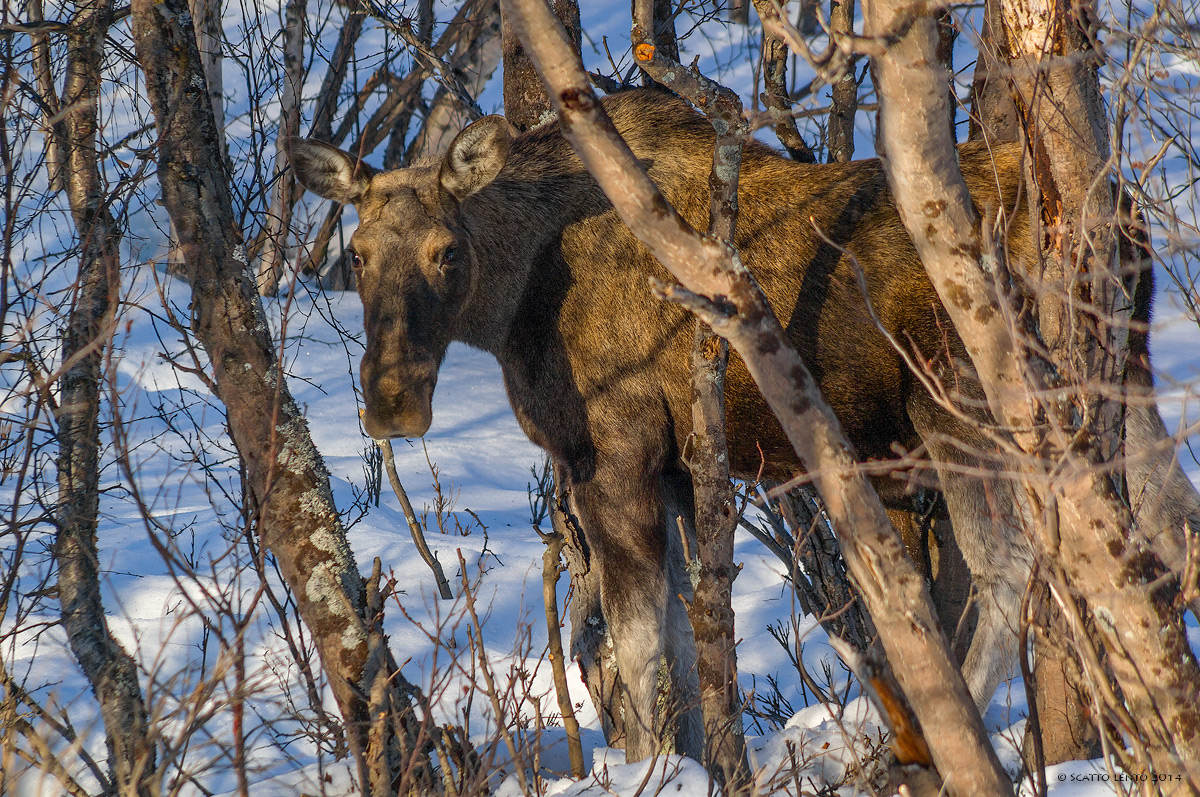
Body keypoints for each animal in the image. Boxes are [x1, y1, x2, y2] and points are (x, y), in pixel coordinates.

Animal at [292, 88, 1200, 768]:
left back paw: (933, 745)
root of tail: (1122, 221)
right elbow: (684, 646)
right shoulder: (677, 468)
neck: (510, 302)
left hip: (963, 402)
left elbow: (638, 644)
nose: (392, 400)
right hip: (1122, 384)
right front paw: (695, 763)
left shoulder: (613, 450)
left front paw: (651, 766)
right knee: (1164, 538)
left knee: (1008, 566)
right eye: (359, 253)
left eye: (447, 251)